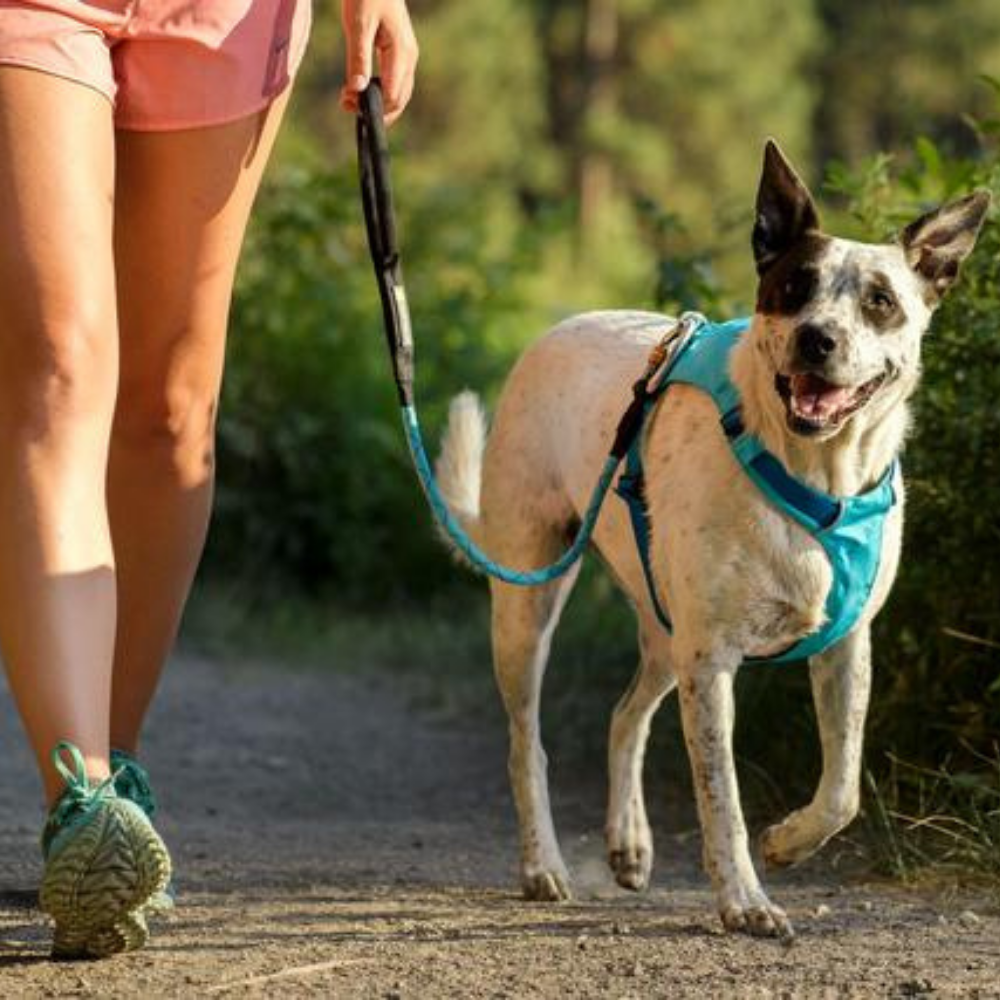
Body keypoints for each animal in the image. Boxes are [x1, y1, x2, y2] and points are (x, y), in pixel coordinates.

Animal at [434, 141, 988, 936]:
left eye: (880, 300)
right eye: (793, 286)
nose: (817, 338)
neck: (814, 476)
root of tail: (562, 325)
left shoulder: (847, 646)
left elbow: (843, 787)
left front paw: (789, 842)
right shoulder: (713, 661)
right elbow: (720, 796)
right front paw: (745, 900)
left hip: (667, 626)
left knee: (624, 714)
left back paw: (630, 843)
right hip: (530, 603)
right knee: (525, 743)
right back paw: (544, 865)